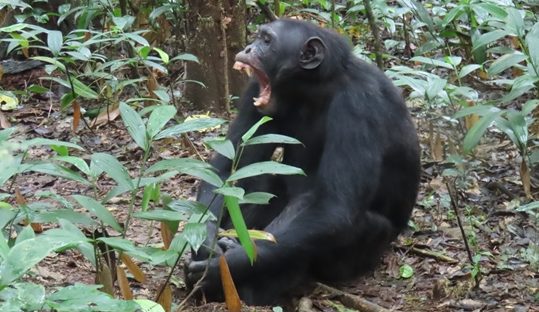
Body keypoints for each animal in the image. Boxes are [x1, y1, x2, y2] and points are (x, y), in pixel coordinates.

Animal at [186, 18, 422, 306]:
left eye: (267, 41)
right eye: (259, 37)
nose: (249, 48)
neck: (315, 87)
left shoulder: (359, 105)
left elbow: (334, 206)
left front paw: (225, 265)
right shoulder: (255, 90)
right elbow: (227, 171)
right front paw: (206, 245)